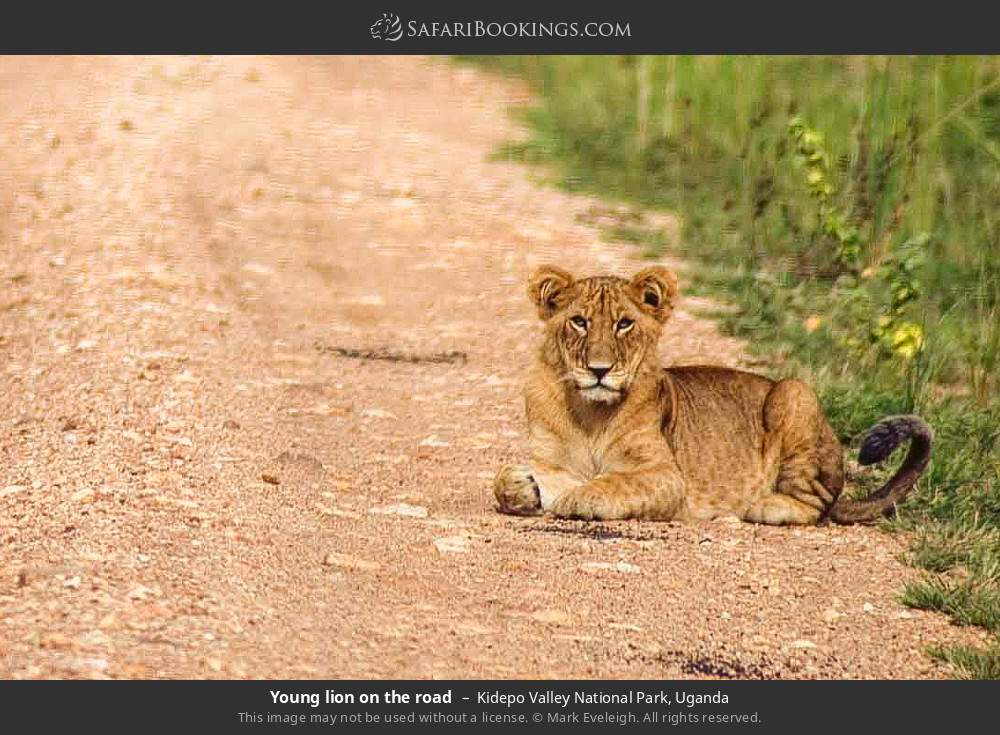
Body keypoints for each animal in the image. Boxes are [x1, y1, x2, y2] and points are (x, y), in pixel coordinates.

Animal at [493, 264, 933, 525]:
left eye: (624, 324)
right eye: (579, 322)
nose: (599, 370)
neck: (589, 413)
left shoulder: (668, 476)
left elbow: (614, 483)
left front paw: (577, 497)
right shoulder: (549, 459)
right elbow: (506, 479)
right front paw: (520, 486)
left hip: (795, 393)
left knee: (816, 505)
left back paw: (762, 505)